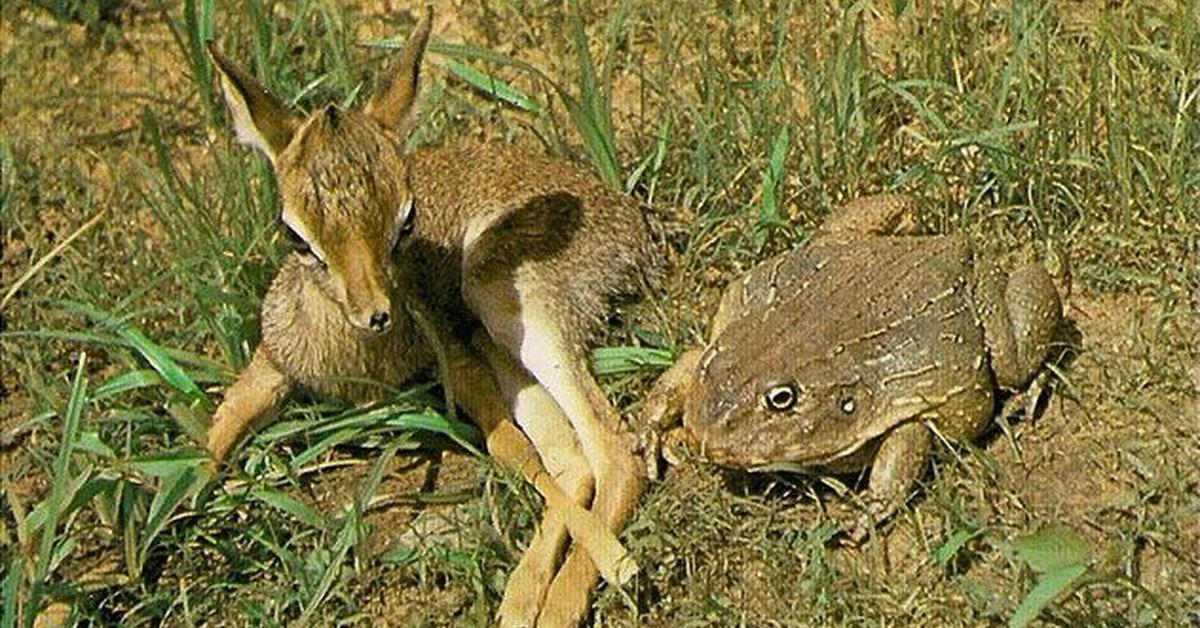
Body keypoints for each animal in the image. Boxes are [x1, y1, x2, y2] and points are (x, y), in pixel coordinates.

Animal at [204, 6, 657, 628]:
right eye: (294, 234)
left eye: (407, 219)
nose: (375, 314)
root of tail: (632, 222)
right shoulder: (272, 364)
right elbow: (211, 439)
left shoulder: (456, 361)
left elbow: (509, 451)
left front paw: (620, 564)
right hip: (500, 344)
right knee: (574, 458)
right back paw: (522, 599)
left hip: (505, 305)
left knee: (614, 451)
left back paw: (564, 601)